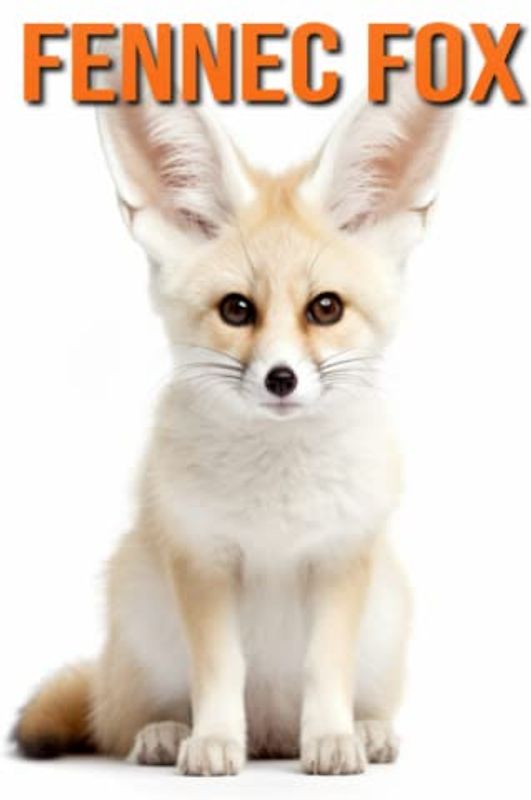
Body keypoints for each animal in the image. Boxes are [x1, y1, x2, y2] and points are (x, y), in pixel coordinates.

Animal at [13, 63, 453, 776]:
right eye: (237, 309)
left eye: (325, 308)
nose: (281, 379)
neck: (277, 494)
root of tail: (272, 735)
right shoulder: (204, 560)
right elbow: (219, 673)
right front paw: (215, 740)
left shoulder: (339, 558)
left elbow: (324, 672)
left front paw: (332, 739)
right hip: (137, 610)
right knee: (119, 722)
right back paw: (166, 734)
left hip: (387, 617)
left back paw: (365, 731)